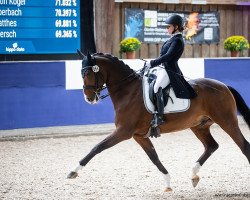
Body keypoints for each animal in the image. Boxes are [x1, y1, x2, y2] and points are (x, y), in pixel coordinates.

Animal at [67, 50, 250, 191]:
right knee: (212, 146)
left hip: (227, 121)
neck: (128, 92)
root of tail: (224, 86)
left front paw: (73, 171)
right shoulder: (138, 135)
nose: (89, 98)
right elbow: (154, 157)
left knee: (244, 146)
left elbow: (97, 147)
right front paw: (168, 183)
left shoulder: (123, 132)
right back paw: (193, 175)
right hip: (199, 126)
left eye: (88, 73)